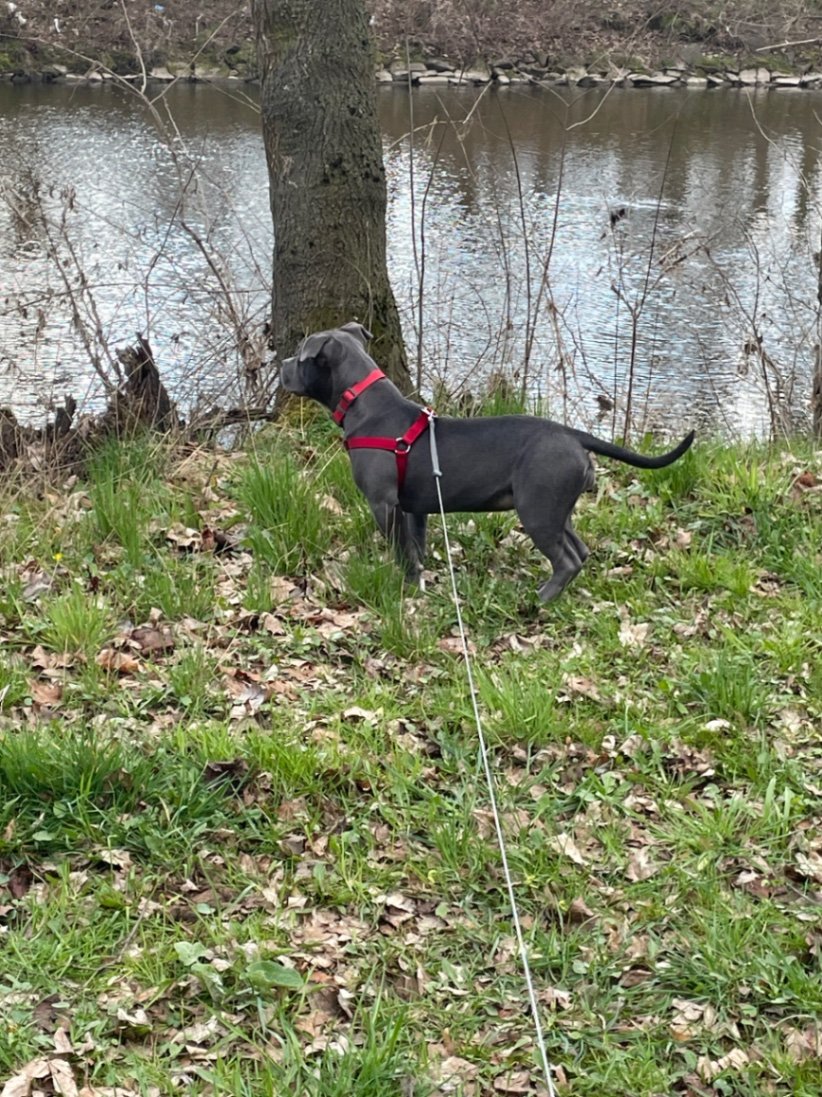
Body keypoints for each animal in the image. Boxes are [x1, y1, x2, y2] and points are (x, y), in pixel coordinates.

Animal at [280, 323, 694, 601]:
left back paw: (541, 600)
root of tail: (572, 434)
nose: (281, 365)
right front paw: (422, 580)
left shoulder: (384, 504)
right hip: (557, 508)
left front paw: (406, 589)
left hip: (538, 510)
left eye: (300, 356)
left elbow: (402, 552)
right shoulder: (416, 508)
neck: (364, 404)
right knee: (579, 550)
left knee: (567, 560)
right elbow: (417, 546)